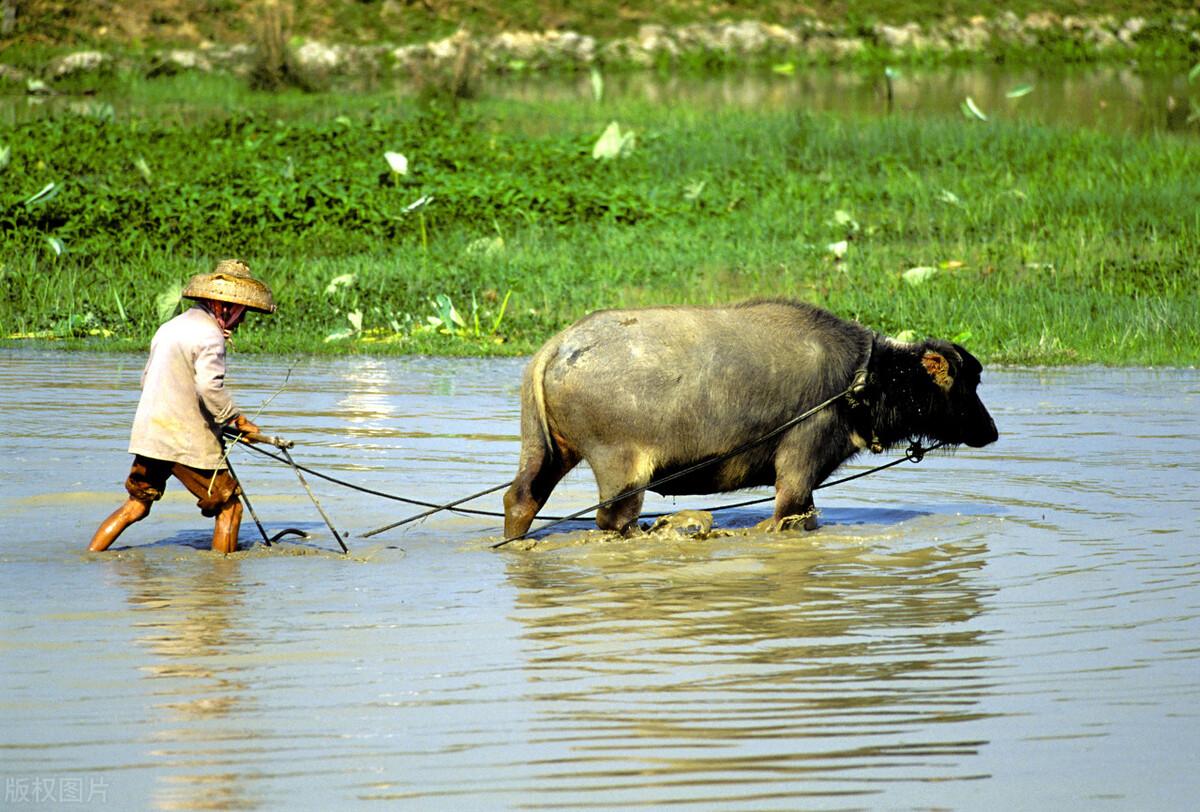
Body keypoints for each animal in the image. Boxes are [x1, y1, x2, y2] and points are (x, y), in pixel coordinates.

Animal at [501, 297, 998, 537]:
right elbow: (792, 513)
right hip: (620, 468)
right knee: (612, 519)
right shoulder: (801, 461)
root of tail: (556, 347)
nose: (992, 431)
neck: (861, 380)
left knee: (521, 499)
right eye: (967, 383)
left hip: (545, 450)